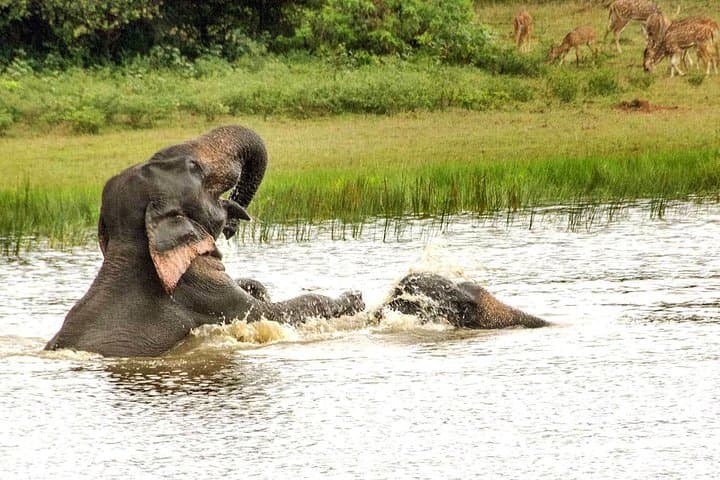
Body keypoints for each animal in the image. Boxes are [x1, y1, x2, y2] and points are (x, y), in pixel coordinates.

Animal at [45, 125, 364, 357]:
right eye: (195, 168)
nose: (231, 228)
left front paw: (258, 286)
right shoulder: (204, 294)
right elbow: (274, 313)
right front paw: (354, 298)